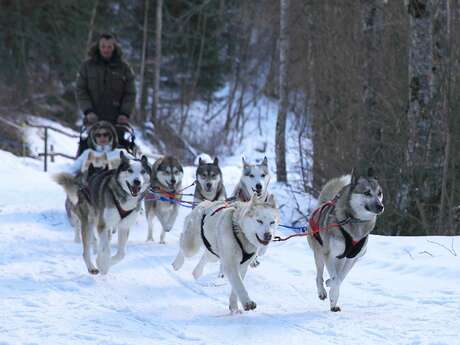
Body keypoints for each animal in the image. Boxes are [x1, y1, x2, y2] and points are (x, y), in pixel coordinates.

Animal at [310, 168, 384, 310]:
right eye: (367, 192)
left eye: (379, 193)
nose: (380, 206)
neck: (355, 221)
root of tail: (322, 204)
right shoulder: (329, 254)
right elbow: (336, 279)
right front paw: (332, 292)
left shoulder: (352, 258)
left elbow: (340, 278)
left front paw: (333, 294)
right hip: (320, 253)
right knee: (318, 275)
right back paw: (322, 291)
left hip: (341, 258)